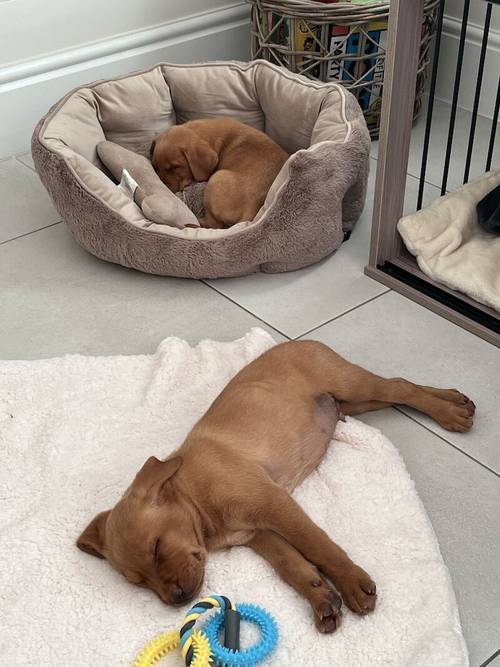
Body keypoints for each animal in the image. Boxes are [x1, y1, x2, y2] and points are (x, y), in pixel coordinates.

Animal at [78, 342, 476, 636]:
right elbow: (293, 565)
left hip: (351, 383)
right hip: (356, 402)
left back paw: (451, 413)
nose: (176, 599)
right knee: (397, 390)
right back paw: (455, 400)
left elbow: (319, 546)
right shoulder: (259, 535)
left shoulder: (274, 505)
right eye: (138, 582)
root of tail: (299, 341)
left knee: (400, 386)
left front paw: (352, 583)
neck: (197, 501)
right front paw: (321, 599)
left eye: (157, 547)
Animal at [150, 120, 288, 232]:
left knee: (213, 224)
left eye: (175, 167)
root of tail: (250, 214)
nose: (163, 184)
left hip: (217, 177)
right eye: (155, 167)